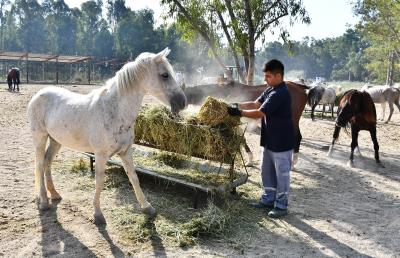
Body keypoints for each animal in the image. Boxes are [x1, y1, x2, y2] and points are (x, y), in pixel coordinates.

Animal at [27, 47, 187, 224]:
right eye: (165, 75)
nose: (183, 102)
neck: (115, 110)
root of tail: (39, 94)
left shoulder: (126, 152)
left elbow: (134, 177)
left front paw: (147, 207)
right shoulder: (101, 155)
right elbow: (99, 181)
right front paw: (97, 214)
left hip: (56, 140)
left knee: (47, 163)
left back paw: (54, 194)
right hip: (40, 137)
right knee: (40, 164)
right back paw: (43, 201)